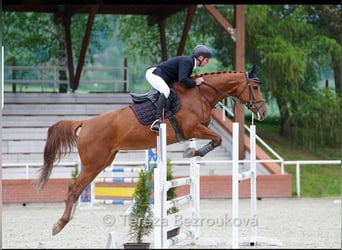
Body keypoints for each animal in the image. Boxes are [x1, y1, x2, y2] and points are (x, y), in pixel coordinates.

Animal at [36, 65, 268, 235]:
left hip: (102, 162)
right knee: (73, 189)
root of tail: (85, 123)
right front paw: (192, 153)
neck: (200, 94)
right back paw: (60, 224)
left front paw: (192, 152)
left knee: (77, 189)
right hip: (93, 164)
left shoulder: (196, 130)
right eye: (255, 87)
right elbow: (218, 139)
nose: (264, 112)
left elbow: (215, 139)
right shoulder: (193, 128)